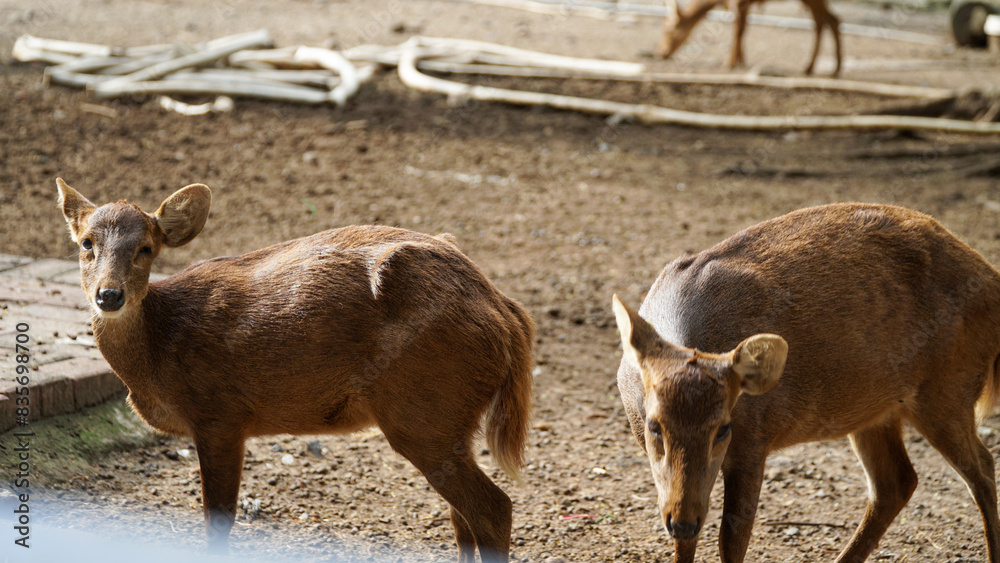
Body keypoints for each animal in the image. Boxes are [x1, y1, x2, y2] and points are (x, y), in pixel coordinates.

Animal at [55, 178, 535, 562]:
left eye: (146, 249)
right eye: (86, 243)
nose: (109, 295)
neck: (161, 349)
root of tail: (507, 314)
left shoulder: (220, 415)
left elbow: (218, 521)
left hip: (424, 409)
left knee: (493, 508)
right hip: (448, 420)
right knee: (462, 518)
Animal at [613, 202, 1000, 563]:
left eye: (723, 428)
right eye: (654, 426)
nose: (683, 521)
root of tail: (991, 280)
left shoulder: (754, 439)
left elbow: (732, 539)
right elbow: (686, 545)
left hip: (948, 387)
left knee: (981, 467)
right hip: (875, 410)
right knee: (897, 482)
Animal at [656, 0, 843, 76]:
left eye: (668, 29)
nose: (662, 53)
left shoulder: (737, 3)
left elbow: (738, 30)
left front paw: (729, 63)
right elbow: (744, 29)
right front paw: (741, 61)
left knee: (831, 20)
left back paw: (833, 68)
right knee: (823, 22)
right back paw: (811, 67)